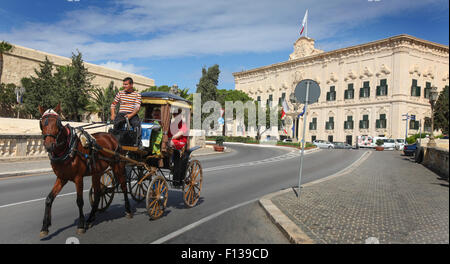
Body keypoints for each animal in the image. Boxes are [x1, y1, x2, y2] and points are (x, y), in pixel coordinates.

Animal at [38, 103, 132, 237]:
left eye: (58, 123)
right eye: (42, 123)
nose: (49, 145)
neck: (68, 148)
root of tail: (112, 137)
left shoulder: (78, 178)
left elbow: (79, 201)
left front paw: (81, 225)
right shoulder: (61, 178)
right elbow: (49, 199)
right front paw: (45, 226)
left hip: (118, 165)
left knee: (124, 185)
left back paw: (128, 210)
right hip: (97, 172)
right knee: (98, 193)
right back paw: (91, 218)